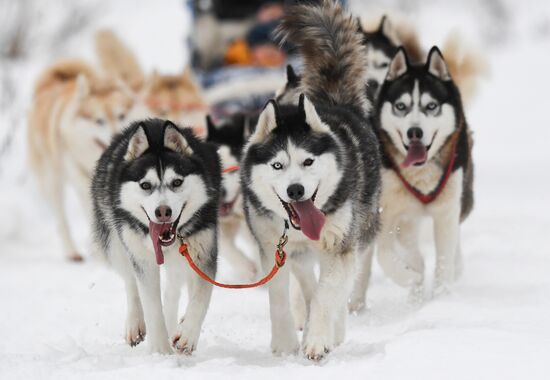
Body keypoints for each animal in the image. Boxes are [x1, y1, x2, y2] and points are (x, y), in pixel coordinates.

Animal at [28, 59, 135, 262]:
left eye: (121, 116)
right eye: (99, 121)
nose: (118, 137)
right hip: (52, 183)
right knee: (61, 221)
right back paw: (72, 252)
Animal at [91, 119, 221, 354]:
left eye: (177, 182)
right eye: (145, 185)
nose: (163, 211)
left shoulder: (203, 253)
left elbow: (200, 297)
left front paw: (187, 335)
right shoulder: (142, 258)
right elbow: (151, 305)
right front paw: (160, 351)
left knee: (173, 290)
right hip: (115, 243)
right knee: (130, 282)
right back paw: (135, 323)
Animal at [244, 1, 382, 360]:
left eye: (308, 161)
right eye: (278, 165)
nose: (296, 190)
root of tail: (334, 101)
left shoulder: (340, 247)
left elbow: (325, 295)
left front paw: (318, 339)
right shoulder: (275, 250)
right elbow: (284, 296)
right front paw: (284, 343)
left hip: (361, 229)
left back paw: (335, 330)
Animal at [354, 46, 474, 308]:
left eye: (431, 106)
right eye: (401, 106)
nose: (414, 132)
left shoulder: (446, 213)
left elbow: (443, 260)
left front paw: (441, 298)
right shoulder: (387, 214)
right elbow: (386, 255)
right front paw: (411, 278)